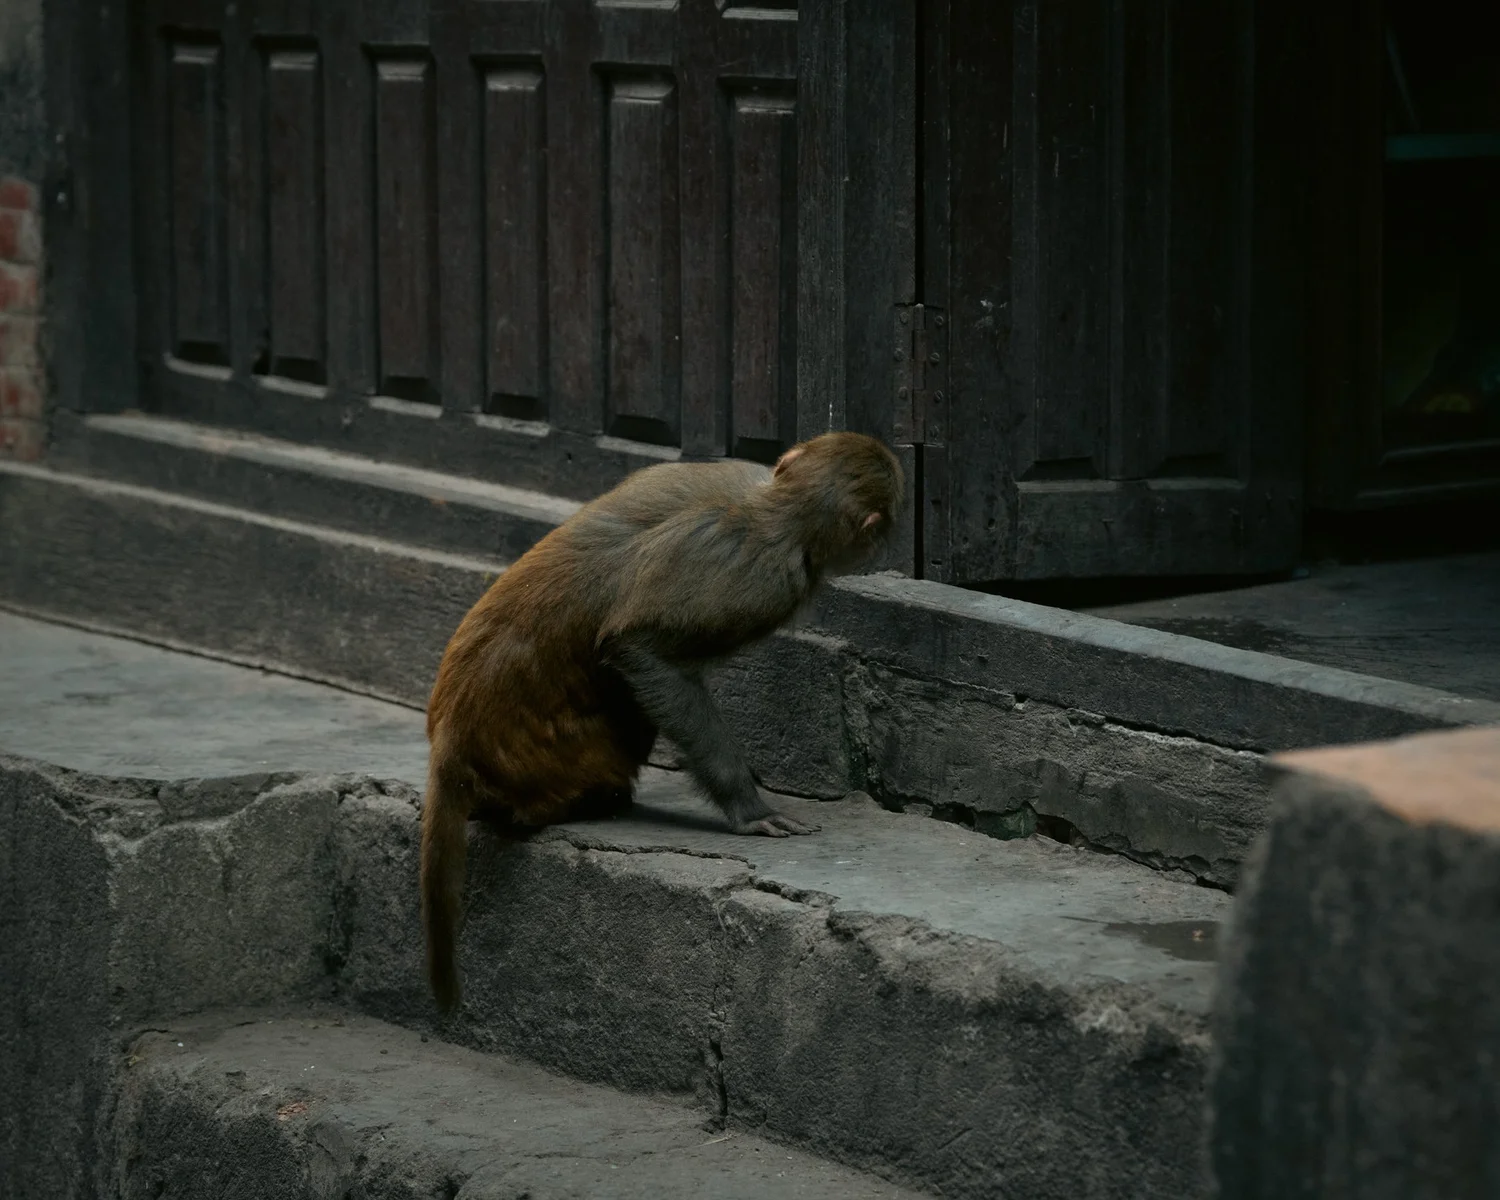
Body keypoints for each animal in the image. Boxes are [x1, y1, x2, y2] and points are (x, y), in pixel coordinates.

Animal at [420, 431, 903, 1012]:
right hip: (553, 756)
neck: (773, 505)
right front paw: (747, 807)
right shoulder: (763, 573)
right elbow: (641, 650)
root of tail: (449, 740)